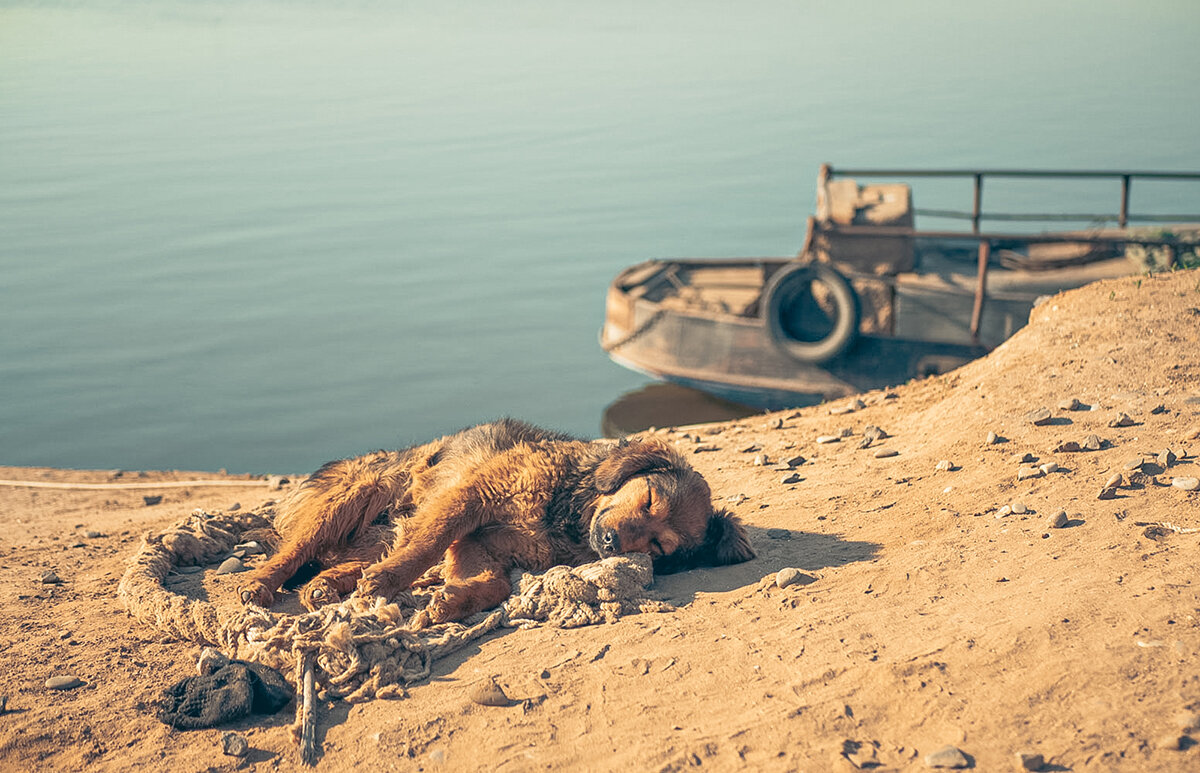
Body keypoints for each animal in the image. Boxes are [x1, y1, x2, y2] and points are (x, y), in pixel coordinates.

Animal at [238, 420, 753, 624]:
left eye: (659, 546)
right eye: (647, 500)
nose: (609, 541)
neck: (567, 516)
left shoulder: (480, 542)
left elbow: (496, 584)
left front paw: (451, 602)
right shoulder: (472, 498)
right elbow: (428, 545)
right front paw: (390, 582)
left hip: (378, 535)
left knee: (345, 562)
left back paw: (326, 587)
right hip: (353, 496)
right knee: (295, 551)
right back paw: (262, 583)